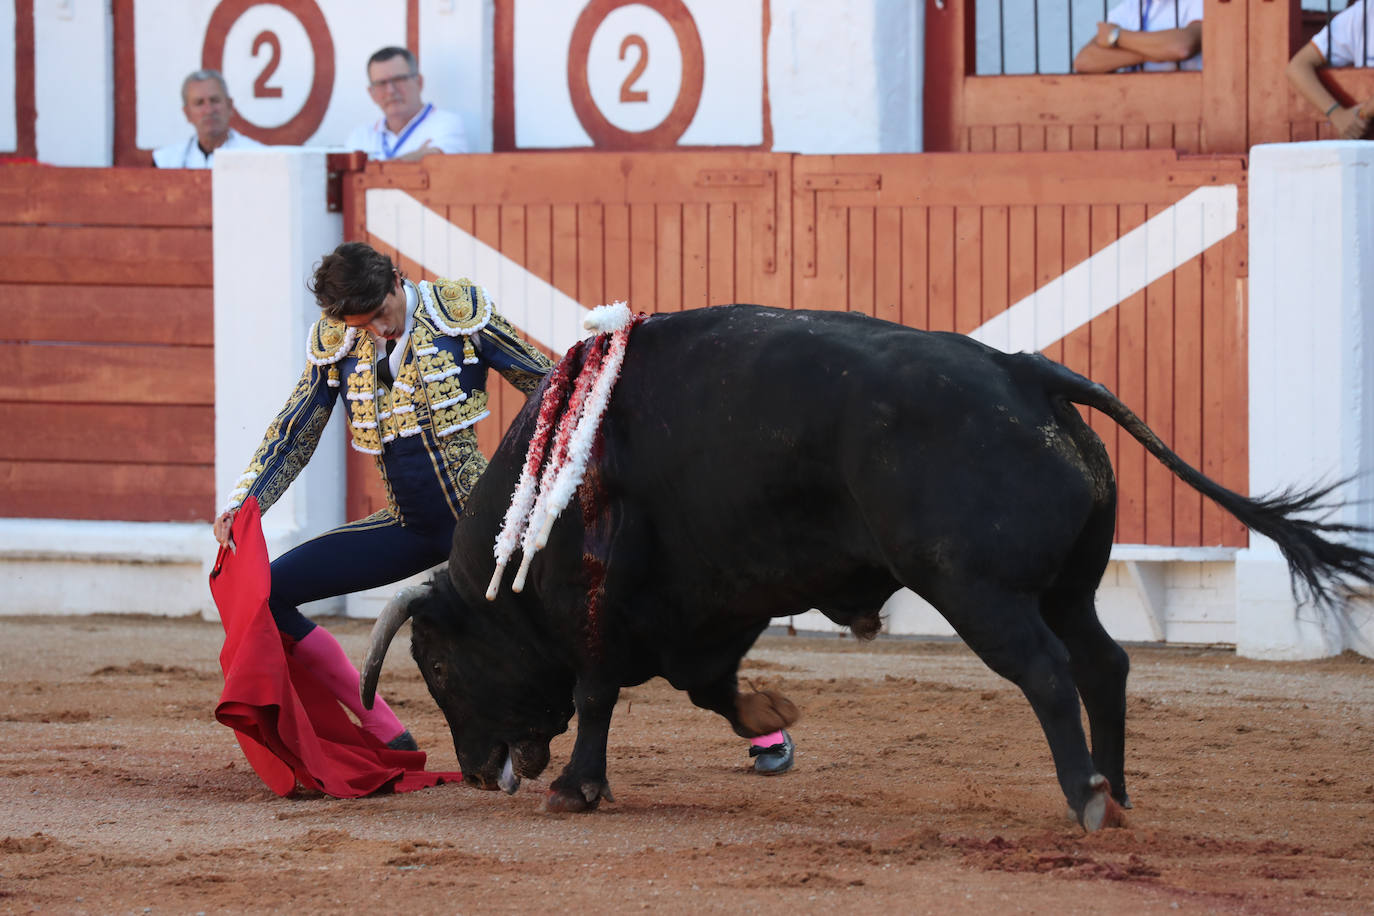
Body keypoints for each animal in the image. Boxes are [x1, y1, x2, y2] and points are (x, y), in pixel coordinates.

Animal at [359, 306, 1368, 829]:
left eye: (436, 664)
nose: (479, 768)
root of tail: (1024, 371)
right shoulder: (711, 605)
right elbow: (708, 686)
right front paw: (769, 718)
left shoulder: (601, 602)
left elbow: (601, 689)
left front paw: (578, 787)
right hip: (1067, 586)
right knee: (1102, 662)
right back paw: (1114, 793)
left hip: (980, 590)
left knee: (1047, 671)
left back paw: (1084, 796)